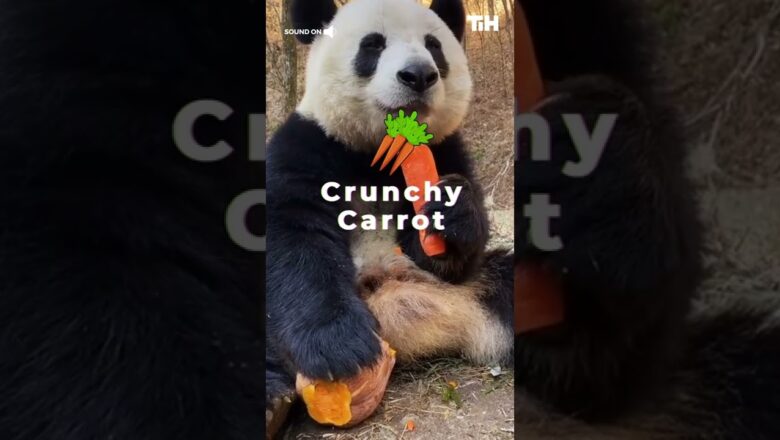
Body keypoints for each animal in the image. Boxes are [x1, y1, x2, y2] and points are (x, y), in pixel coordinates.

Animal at [266, 0, 516, 434]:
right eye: (373, 45)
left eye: (434, 46)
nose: (418, 75)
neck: (380, 146)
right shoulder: (307, 145)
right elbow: (295, 239)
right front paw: (340, 348)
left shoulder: (445, 149)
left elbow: (446, 255)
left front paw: (449, 210)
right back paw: (272, 399)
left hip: (482, 288)